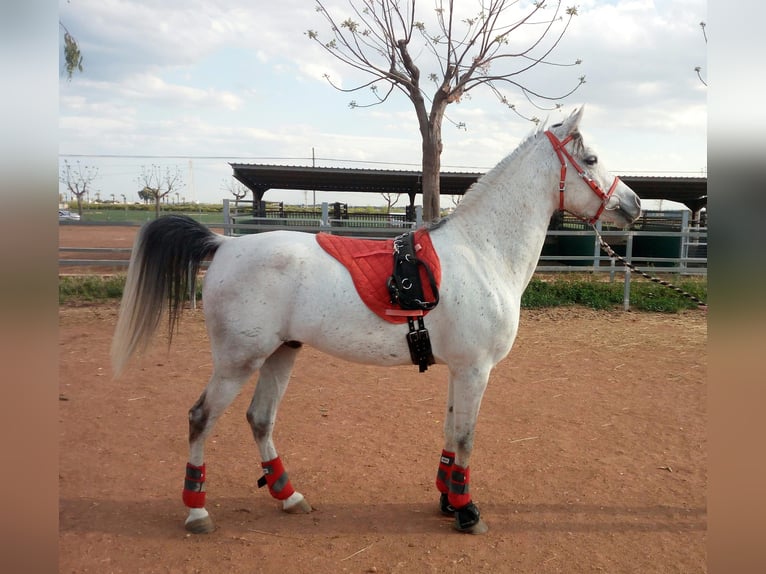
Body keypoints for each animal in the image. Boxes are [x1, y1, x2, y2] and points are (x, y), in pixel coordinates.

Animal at [112, 108, 640, 536]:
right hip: (237, 361)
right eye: (591, 158)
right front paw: (468, 511)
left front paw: (448, 499)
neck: (482, 251)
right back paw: (197, 511)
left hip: (281, 354)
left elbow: (450, 431)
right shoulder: (475, 369)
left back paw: (289, 496)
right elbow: (466, 437)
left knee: (260, 419)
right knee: (200, 418)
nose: (633, 205)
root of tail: (224, 244)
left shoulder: (460, 369)